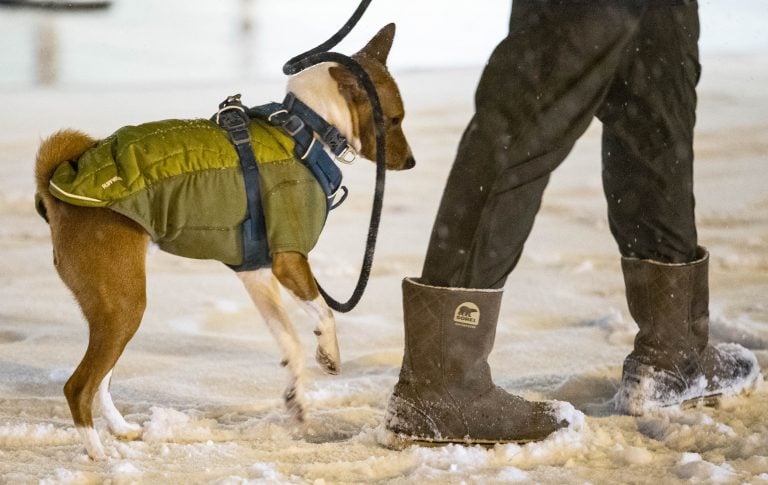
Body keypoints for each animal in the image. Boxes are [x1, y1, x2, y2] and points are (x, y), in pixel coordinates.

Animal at [34, 23, 414, 462]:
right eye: (394, 119)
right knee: (78, 387)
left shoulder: (257, 273)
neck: (305, 129)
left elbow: (291, 343)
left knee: (101, 381)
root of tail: (57, 184)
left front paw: (296, 400)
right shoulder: (289, 259)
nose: (410, 162)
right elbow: (325, 315)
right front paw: (330, 355)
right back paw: (100, 456)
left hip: (112, 308)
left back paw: (121, 429)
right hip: (124, 304)